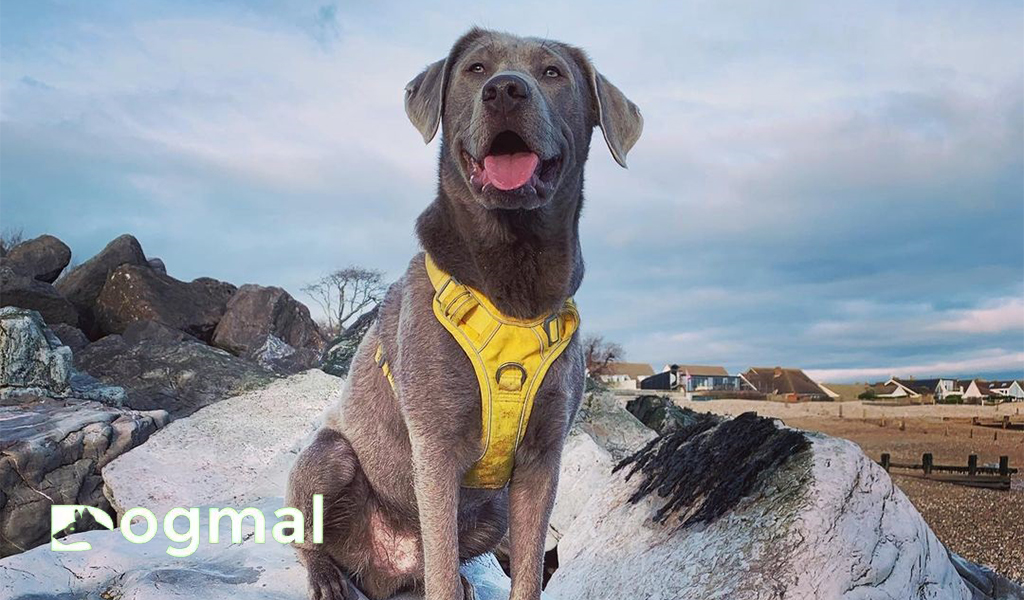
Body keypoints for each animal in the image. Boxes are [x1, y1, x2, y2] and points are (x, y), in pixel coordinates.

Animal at [286, 26, 638, 597]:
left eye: (552, 72)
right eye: (476, 69)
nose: (505, 90)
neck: (513, 280)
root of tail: (382, 569)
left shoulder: (543, 460)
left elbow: (527, 569)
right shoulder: (435, 448)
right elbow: (443, 569)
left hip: (492, 511)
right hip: (327, 457)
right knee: (312, 538)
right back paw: (328, 578)